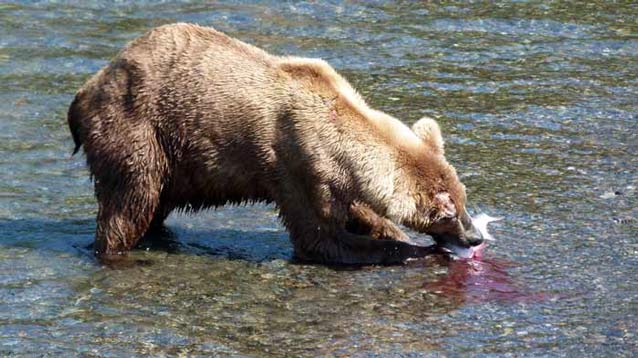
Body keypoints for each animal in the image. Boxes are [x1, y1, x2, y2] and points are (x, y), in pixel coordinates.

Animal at [67, 22, 482, 262]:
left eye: (464, 199)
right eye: (447, 212)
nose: (475, 236)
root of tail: (86, 89)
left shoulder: (333, 176)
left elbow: (358, 212)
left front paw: (391, 232)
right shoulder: (293, 162)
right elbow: (319, 237)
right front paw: (413, 249)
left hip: (175, 161)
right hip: (139, 130)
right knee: (130, 202)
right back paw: (116, 250)